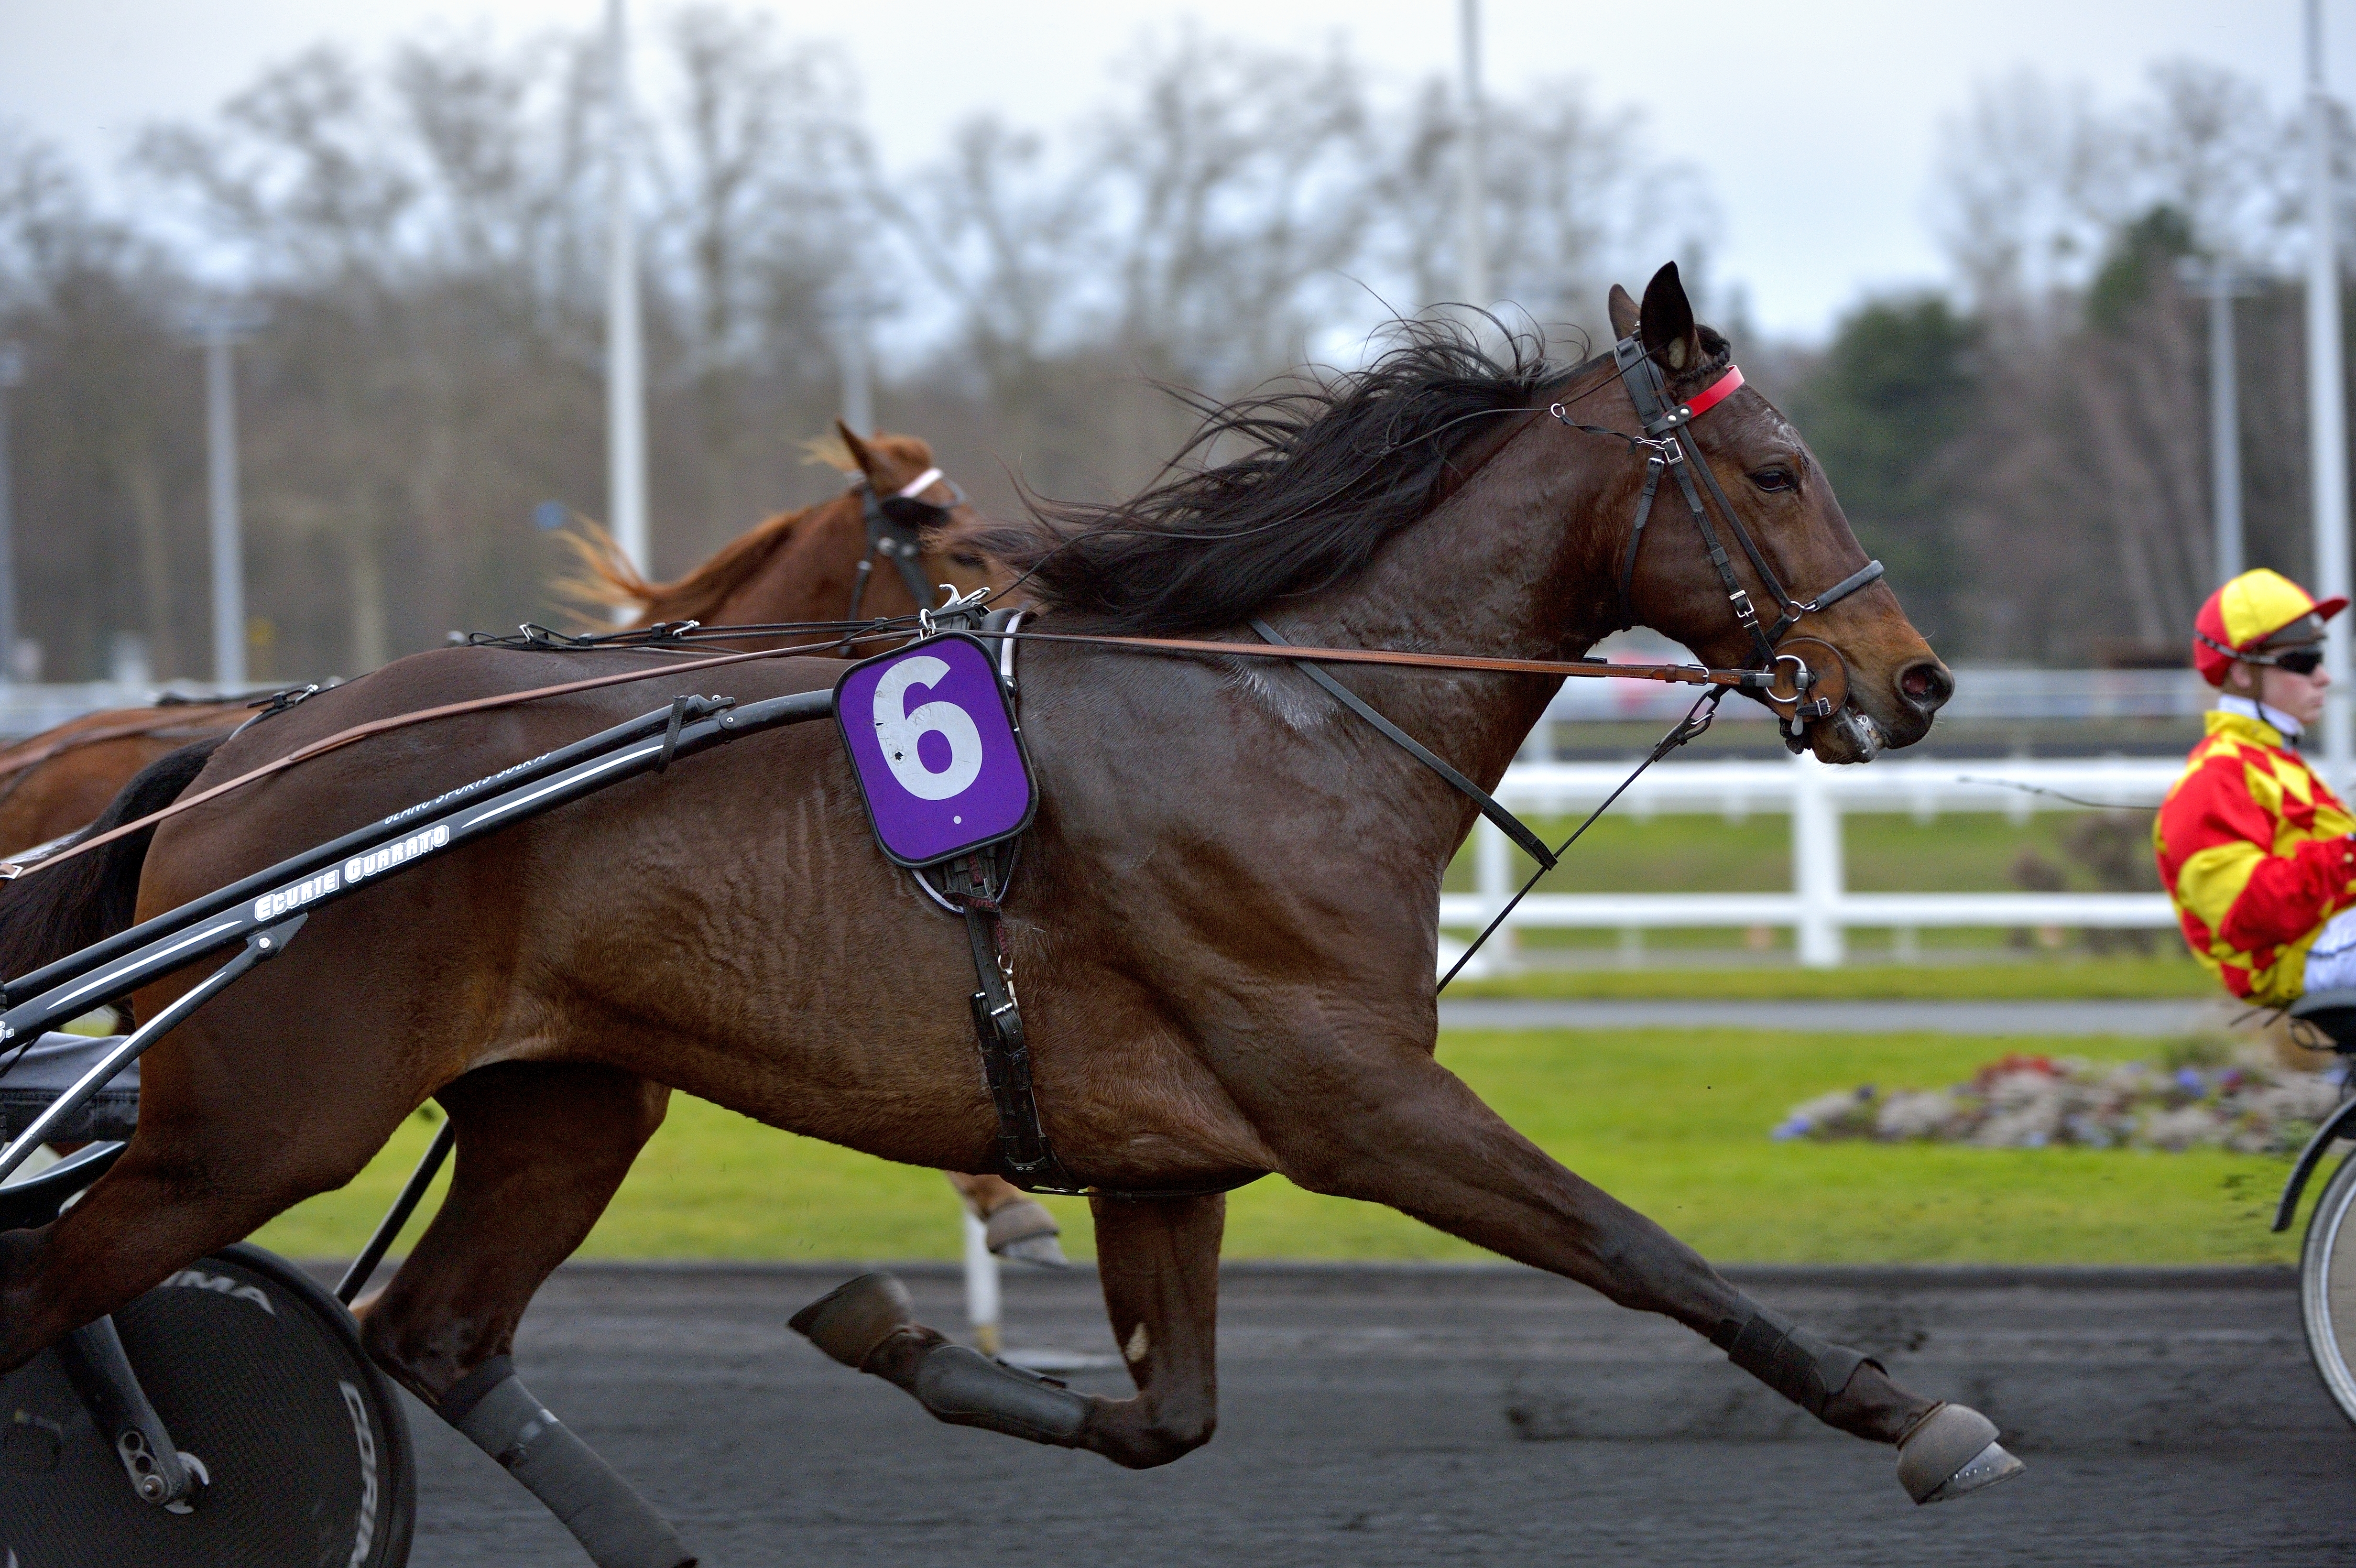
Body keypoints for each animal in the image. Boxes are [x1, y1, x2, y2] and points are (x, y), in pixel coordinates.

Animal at [0, 266, 2017, 1554]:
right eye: (1774, 471)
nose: (1915, 682)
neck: (1287, 716)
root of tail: (251, 744)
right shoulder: (1355, 1100)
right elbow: (1645, 1254)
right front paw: (1917, 1418)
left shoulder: (1167, 1152)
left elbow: (1160, 1417)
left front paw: (892, 1329)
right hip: (261, 1118)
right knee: (51, 1286)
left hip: (562, 1099)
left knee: (433, 1333)